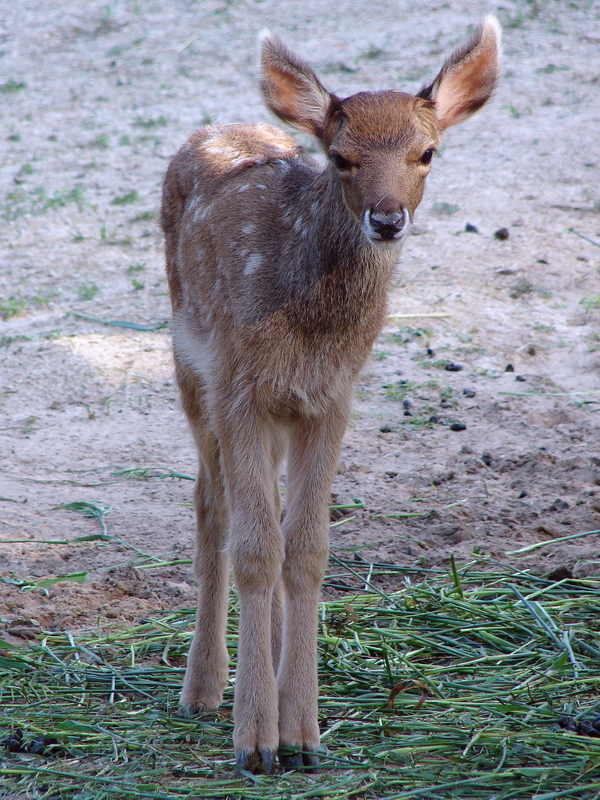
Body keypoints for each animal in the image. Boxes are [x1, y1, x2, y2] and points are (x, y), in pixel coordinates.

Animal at [160, 16, 501, 775]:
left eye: (426, 152)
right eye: (341, 158)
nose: (388, 218)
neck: (311, 327)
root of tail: (215, 129)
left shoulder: (331, 398)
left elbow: (308, 549)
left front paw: (302, 735)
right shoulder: (239, 385)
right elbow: (256, 549)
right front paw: (256, 741)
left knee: (263, 514)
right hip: (189, 361)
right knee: (210, 508)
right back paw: (202, 691)